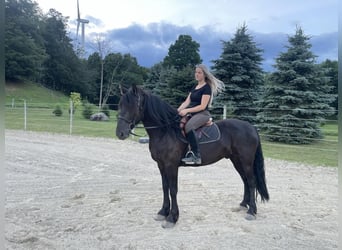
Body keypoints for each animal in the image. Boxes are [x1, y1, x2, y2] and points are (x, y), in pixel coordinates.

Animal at [116, 85, 268, 228]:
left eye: (132, 106)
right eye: (120, 105)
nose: (120, 133)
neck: (165, 131)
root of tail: (251, 127)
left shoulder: (171, 165)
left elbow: (173, 190)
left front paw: (172, 218)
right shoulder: (161, 165)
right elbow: (165, 187)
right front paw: (163, 212)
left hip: (246, 161)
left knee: (251, 181)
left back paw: (251, 211)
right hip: (236, 160)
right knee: (245, 180)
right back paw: (243, 205)